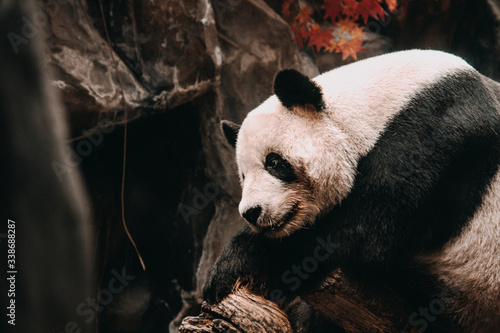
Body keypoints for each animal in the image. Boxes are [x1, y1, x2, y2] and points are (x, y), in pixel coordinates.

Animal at [203, 50, 500, 332]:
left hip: (466, 282)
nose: (251, 212)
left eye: (274, 162)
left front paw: (235, 263)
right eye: (243, 175)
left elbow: (359, 233)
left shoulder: (433, 133)